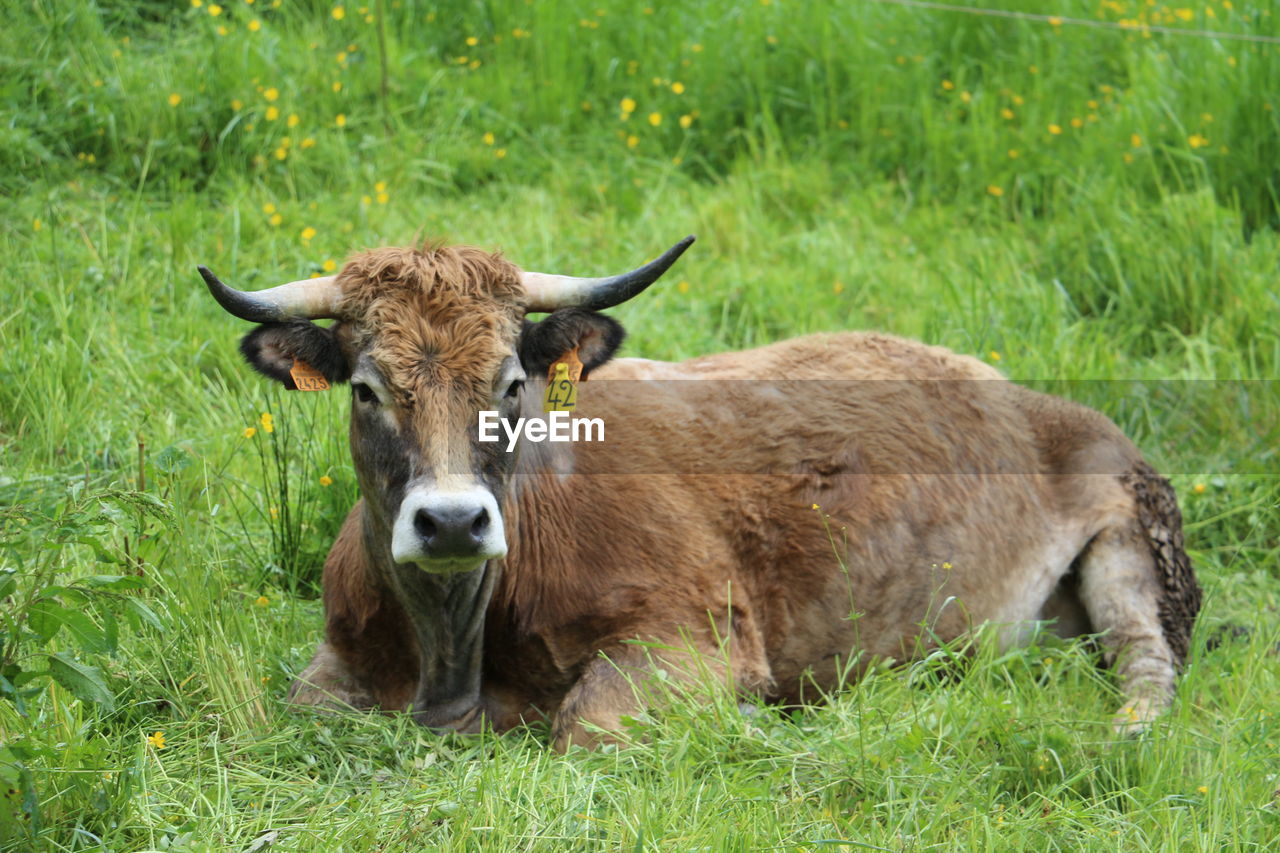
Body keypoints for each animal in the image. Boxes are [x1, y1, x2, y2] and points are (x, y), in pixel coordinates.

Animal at [197, 235, 1198, 747]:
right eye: (367, 389)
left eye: (513, 382)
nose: (449, 520)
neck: (456, 651)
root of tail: (1023, 395)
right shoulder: (335, 662)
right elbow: (302, 705)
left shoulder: (698, 639)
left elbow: (589, 723)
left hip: (1131, 538)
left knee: (1147, 663)